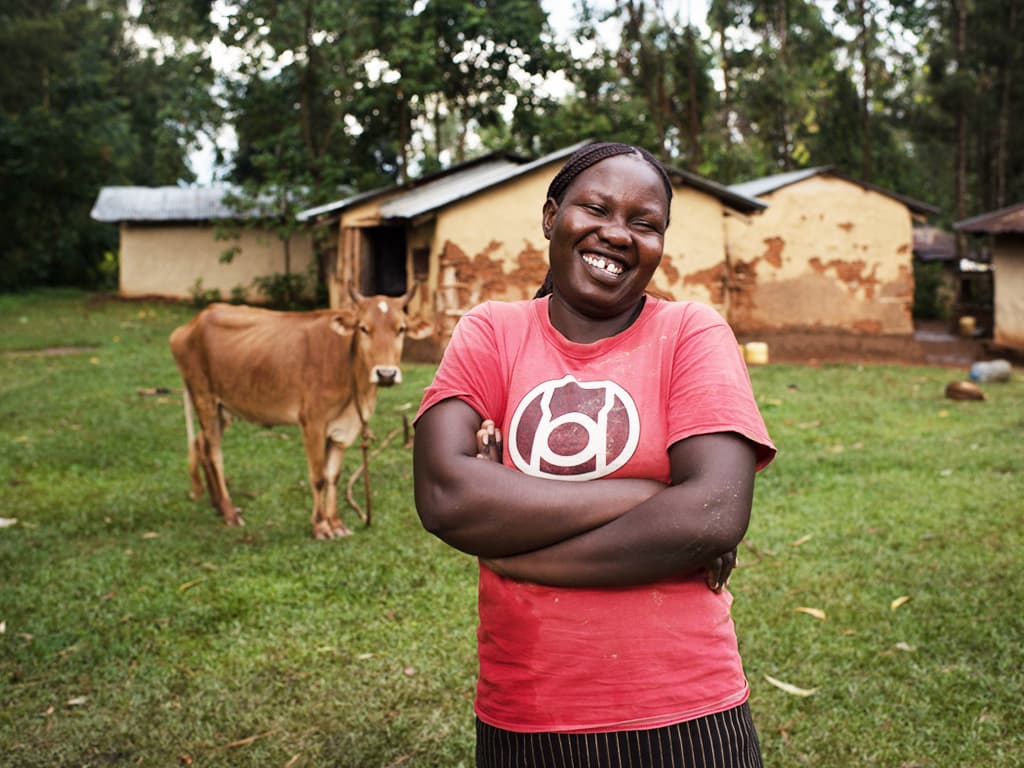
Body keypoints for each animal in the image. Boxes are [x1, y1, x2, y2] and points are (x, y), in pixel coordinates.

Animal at [168, 290, 432, 540]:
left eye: (401, 329)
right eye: (363, 328)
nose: (386, 374)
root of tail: (191, 324)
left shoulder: (343, 428)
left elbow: (333, 476)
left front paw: (336, 523)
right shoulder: (312, 422)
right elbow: (318, 476)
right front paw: (320, 526)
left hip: (222, 410)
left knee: (201, 445)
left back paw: (217, 506)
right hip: (205, 399)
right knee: (214, 454)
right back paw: (229, 511)